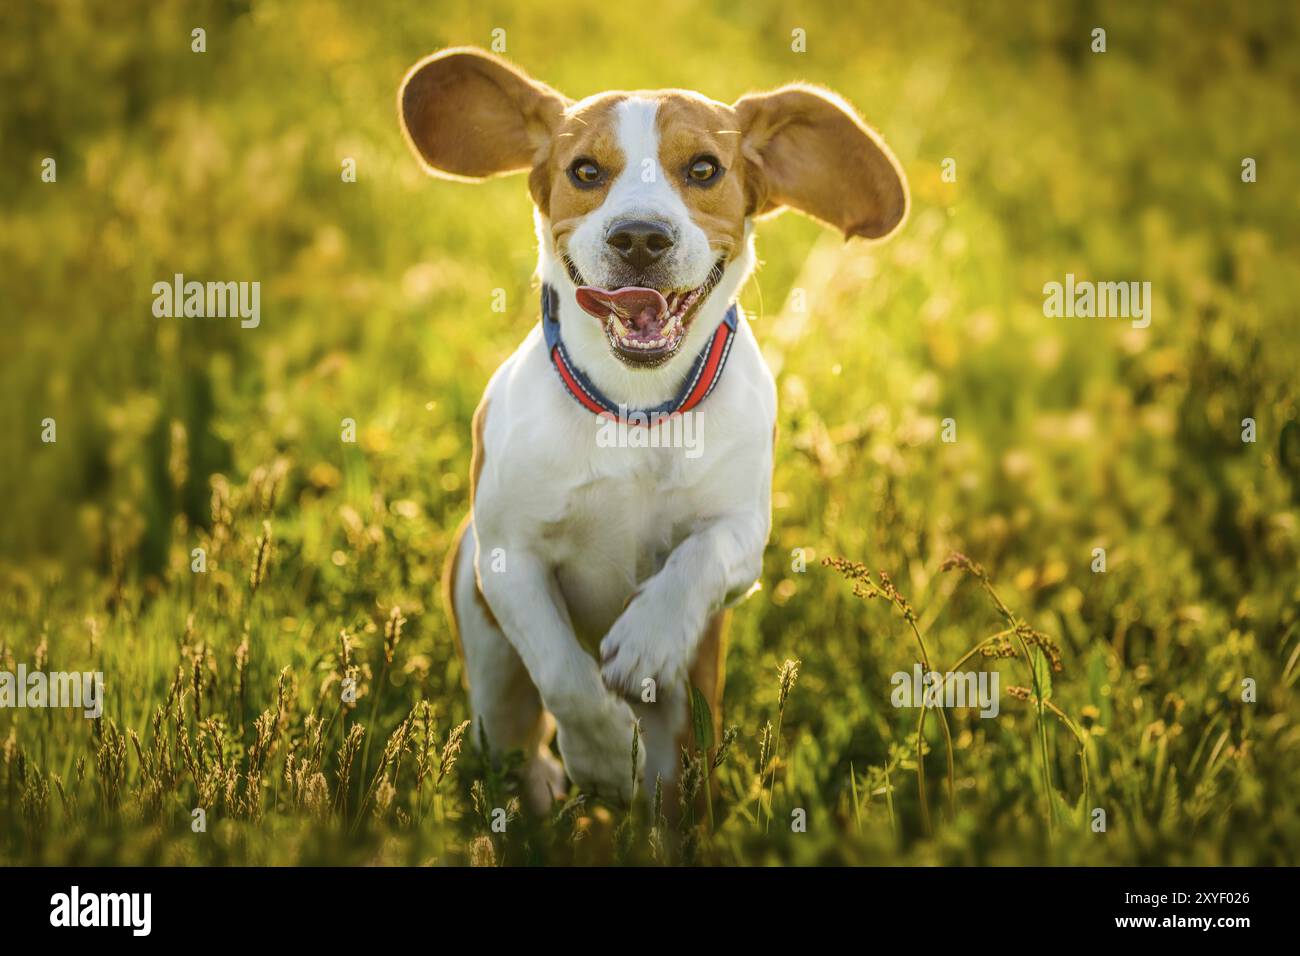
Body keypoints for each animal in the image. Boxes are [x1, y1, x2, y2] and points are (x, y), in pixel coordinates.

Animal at [400, 42, 909, 806]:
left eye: (703, 169)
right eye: (585, 171)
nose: (640, 236)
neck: (634, 410)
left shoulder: (743, 533)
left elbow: (701, 556)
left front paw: (647, 637)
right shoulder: (506, 559)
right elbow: (565, 674)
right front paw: (607, 755)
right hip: (487, 659)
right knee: (513, 735)